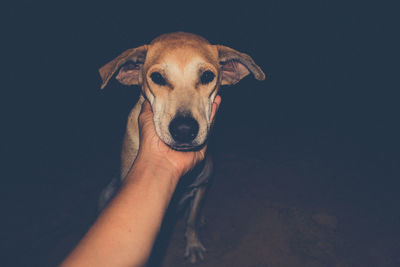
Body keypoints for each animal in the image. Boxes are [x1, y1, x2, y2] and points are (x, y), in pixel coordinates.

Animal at [97, 31, 266, 264]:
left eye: (207, 76)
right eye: (157, 77)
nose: (184, 130)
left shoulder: (202, 186)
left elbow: (191, 221)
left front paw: (193, 243)